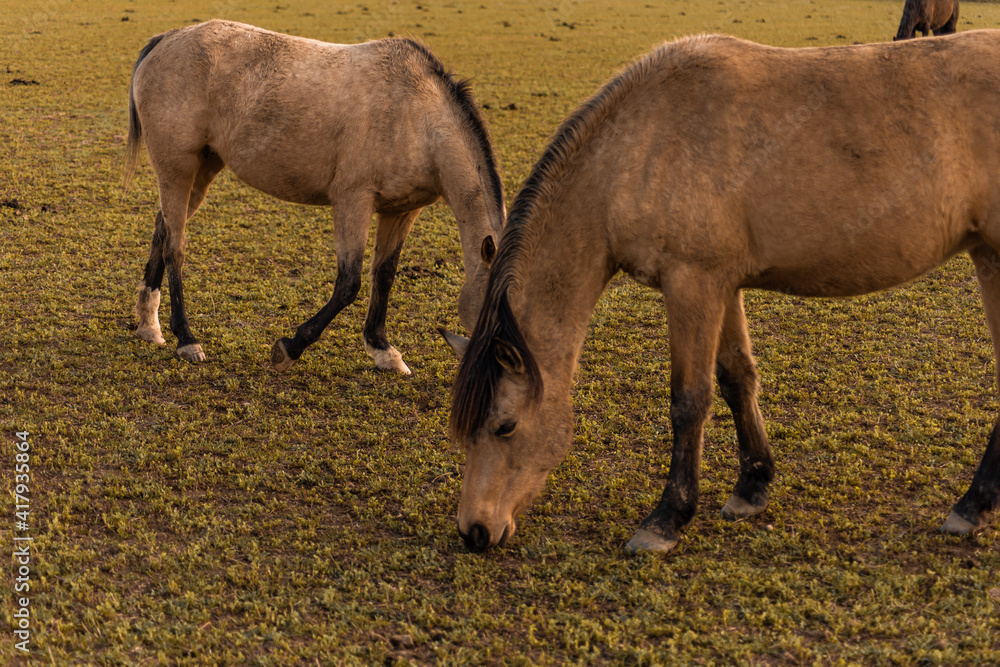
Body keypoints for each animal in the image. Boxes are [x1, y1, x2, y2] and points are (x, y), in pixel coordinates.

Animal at [124, 20, 505, 374]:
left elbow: (384, 275)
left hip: (202, 169)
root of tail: (167, 39)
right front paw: (290, 347)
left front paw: (382, 349)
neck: (418, 118)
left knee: (163, 229)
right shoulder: (353, 201)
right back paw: (186, 339)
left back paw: (149, 325)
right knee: (175, 246)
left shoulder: (401, 211)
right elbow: (349, 283)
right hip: (177, 169)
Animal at [442, 31, 1000, 554]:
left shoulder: (692, 283)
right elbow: (737, 379)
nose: (475, 531)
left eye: (505, 426)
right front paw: (752, 487)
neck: (639, 145)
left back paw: (971, 506)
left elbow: (689, 400)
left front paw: (666, 519)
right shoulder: (723, 286)